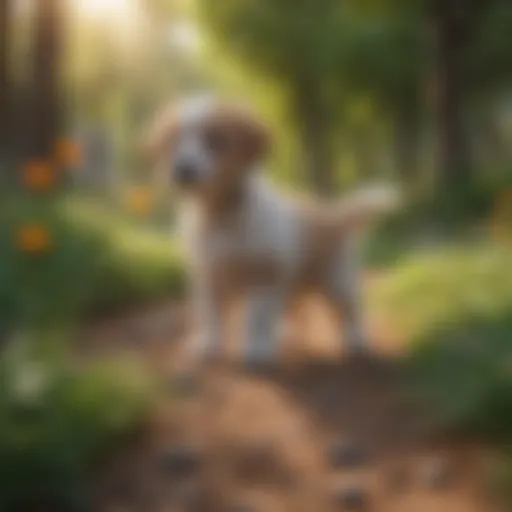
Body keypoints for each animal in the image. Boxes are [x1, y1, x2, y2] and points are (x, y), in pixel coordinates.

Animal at [144, 95, 400, 368]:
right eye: (173, 142)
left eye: (215, 140)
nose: (183, 170)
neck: (222, 214)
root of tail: (333, 214)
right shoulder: (208, 277)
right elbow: (210, 315)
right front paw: (207, 345)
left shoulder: (264, 276)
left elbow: (257, 318)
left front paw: (256, 350)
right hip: (293, 281)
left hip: (335, 277)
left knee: (349, 309)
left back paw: (356, 341)